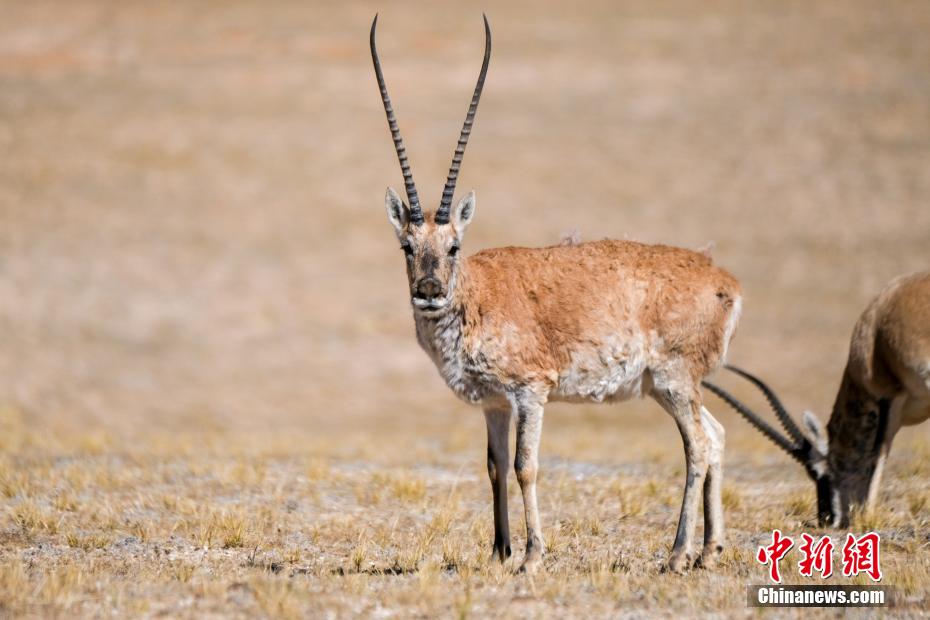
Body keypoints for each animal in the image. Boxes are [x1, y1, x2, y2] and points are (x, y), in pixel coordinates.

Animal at [370, 14, 740, 572]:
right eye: (407, 246)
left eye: (454, 245)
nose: (430, 292)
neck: (477, 294)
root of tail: (723, 282)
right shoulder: (494, 404)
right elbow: (495, 466)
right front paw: (499, 553)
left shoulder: (531, 392)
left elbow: (526, 466)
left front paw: (531, 556)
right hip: (667, 387)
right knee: (715, 437)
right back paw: (708, 552)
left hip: (674, 382)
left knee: (697, 445)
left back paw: (677, 555)